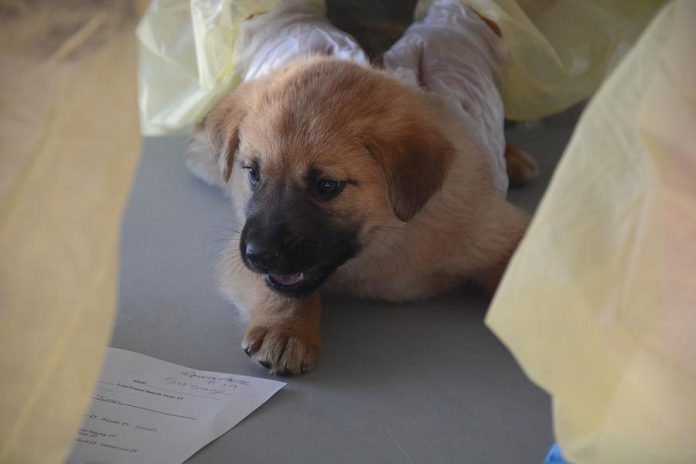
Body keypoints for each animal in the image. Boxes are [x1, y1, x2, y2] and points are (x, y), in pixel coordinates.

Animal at [188, 54, 536, 376]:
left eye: (327, 186)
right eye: (254, 173)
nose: (257, 255)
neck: (388, 241)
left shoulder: (496, 231)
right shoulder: (237, 251)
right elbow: (281, 291)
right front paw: (286, 330)